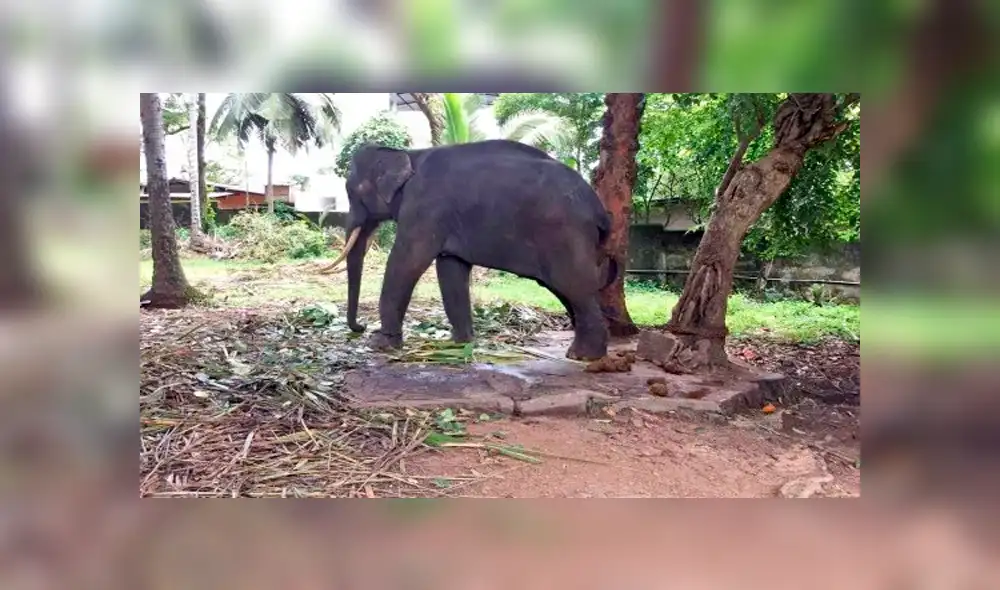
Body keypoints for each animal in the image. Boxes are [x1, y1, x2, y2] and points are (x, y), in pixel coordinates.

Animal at [320, 139, 618, 360]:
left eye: (353, 190)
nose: (360, 327)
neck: (409, 154)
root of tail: (599, 210)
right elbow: (450, 268)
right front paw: (460, 342)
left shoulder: (425, 209)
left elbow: (407, 262)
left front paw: (379, 345)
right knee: (567, 290)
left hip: (565, 234)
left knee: (574, 286)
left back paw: (583, 356)